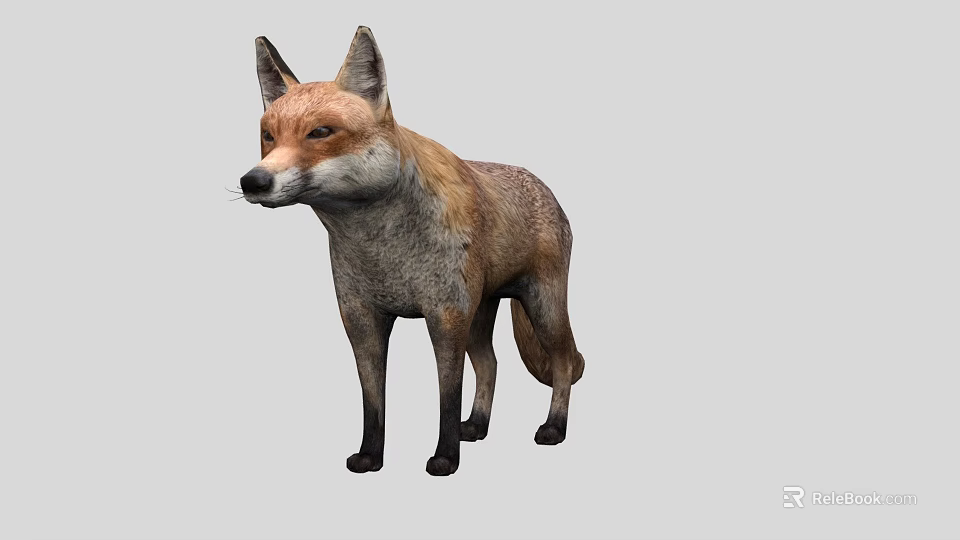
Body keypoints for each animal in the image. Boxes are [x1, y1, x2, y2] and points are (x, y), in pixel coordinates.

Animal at [239, 26, 585, 476]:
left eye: (320, 133)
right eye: (269, 136)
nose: (252, 182)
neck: (383, 251)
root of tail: (540, 182)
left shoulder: (445, 316)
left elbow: (446, 397)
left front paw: (445, 458)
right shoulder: (360, 318)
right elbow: (373, 402)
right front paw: (370, 456)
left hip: (541, 306)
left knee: (563, 363)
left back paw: (554, 427)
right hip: (481, 312)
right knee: (490, 364)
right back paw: (477, 425)